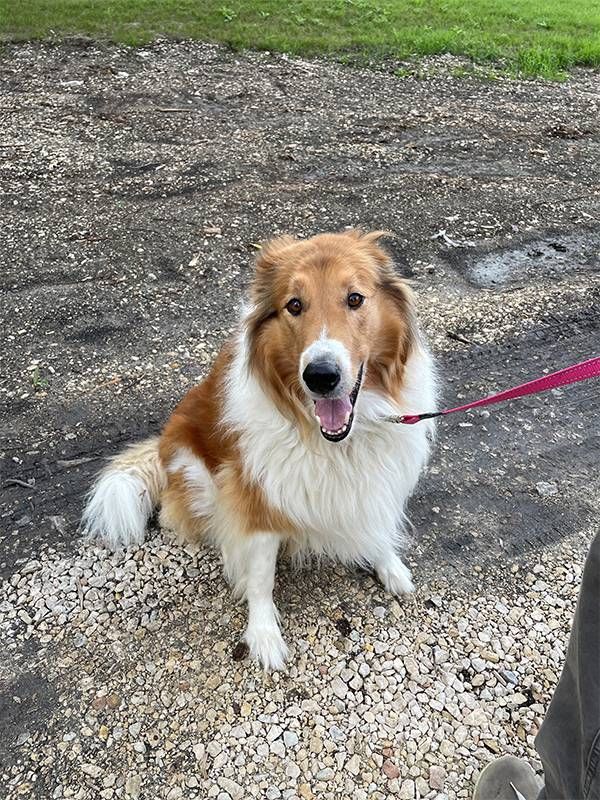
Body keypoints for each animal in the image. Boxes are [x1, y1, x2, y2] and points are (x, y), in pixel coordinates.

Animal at [81, 230, 436, 668]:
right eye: (294, 305)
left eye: (355, 298)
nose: (320, 376)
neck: (333, 439)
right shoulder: (257, 496)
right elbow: (261, 576)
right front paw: (264, 635)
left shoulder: (376, 478)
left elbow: (377, 524)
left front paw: (388, 565)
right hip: (198, 474)